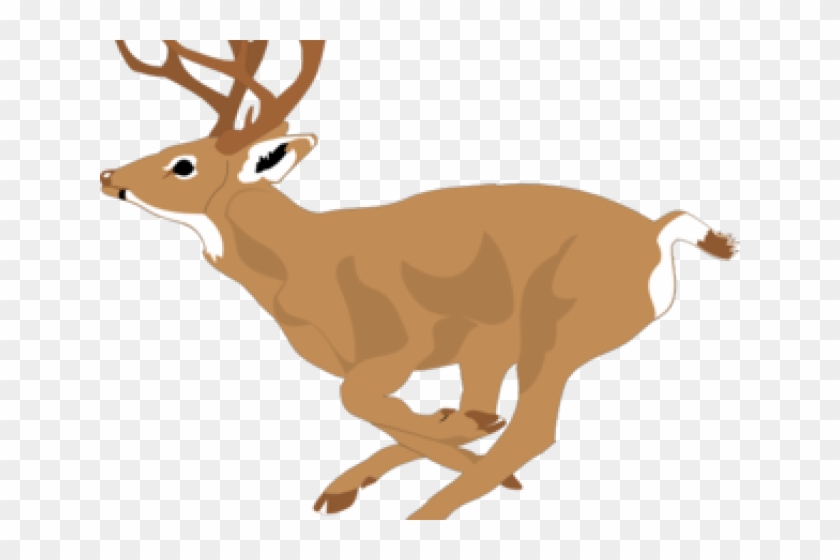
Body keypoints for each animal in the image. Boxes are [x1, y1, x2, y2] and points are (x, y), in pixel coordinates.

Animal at [100, 40, 737, 520]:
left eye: (184, 164)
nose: (108, 176)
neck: (298, 264)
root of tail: (657, 234)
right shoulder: (459, 345)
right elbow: (417, 412)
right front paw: (430, 434)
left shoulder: (404, 339)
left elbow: (360, 397)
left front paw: (436, 435)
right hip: (505, 341)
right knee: (496, 417)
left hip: (560, 323)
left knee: (532, 428)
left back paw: (429, 510)